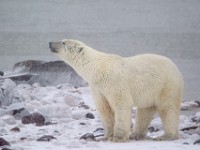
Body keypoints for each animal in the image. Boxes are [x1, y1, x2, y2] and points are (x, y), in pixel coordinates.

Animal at [49, 39, 184, 142]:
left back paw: (167, 136)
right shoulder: (98, 88)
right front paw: (106, 136)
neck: (98, 68)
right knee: (145, 110)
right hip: (149, 90)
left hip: (166, 85)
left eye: (63, 42)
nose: (50, 43)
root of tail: (176, 67)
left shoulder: (114, 81)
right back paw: (136, 135)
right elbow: (104, 108)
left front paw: (117, 138)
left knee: (168, 108)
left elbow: (121, 104)